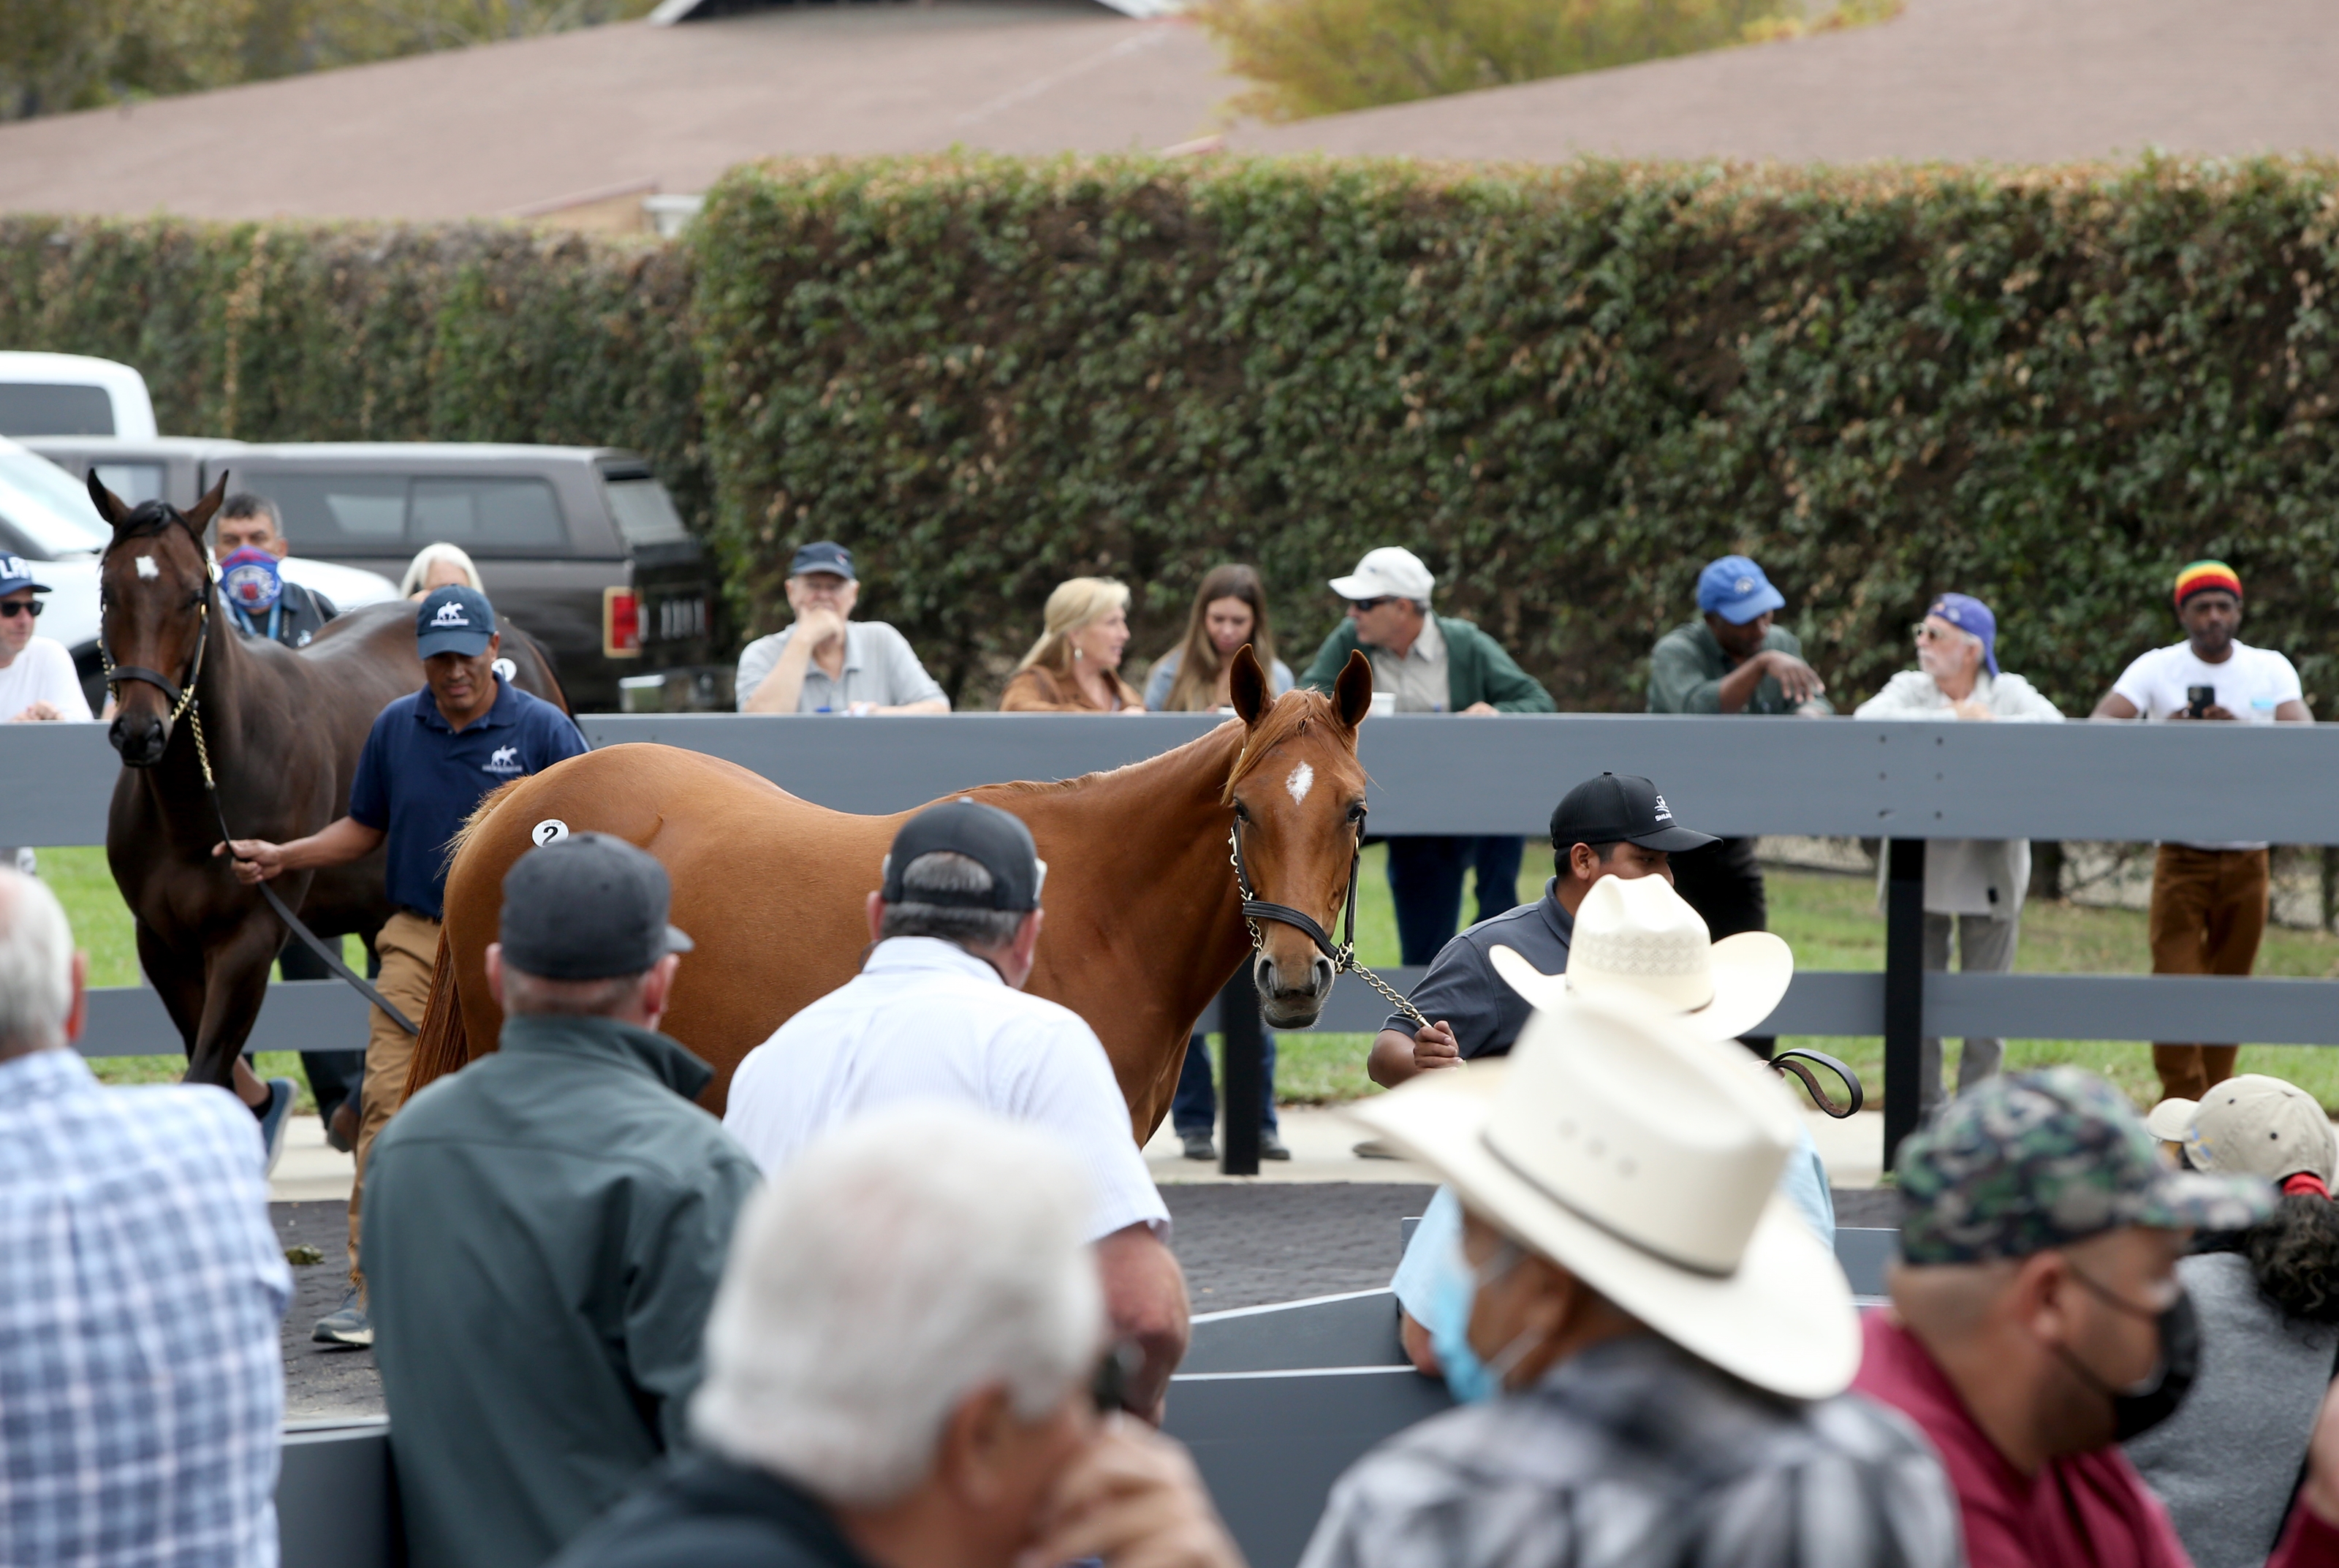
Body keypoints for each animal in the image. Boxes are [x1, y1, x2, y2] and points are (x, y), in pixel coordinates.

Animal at [92, 472, 570, 1099]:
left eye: (195, 595)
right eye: (108, 591)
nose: (139, 731)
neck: (198, 807)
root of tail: (517, 642)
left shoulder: (247, 941)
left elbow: (209, 1070)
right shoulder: (161, 945)